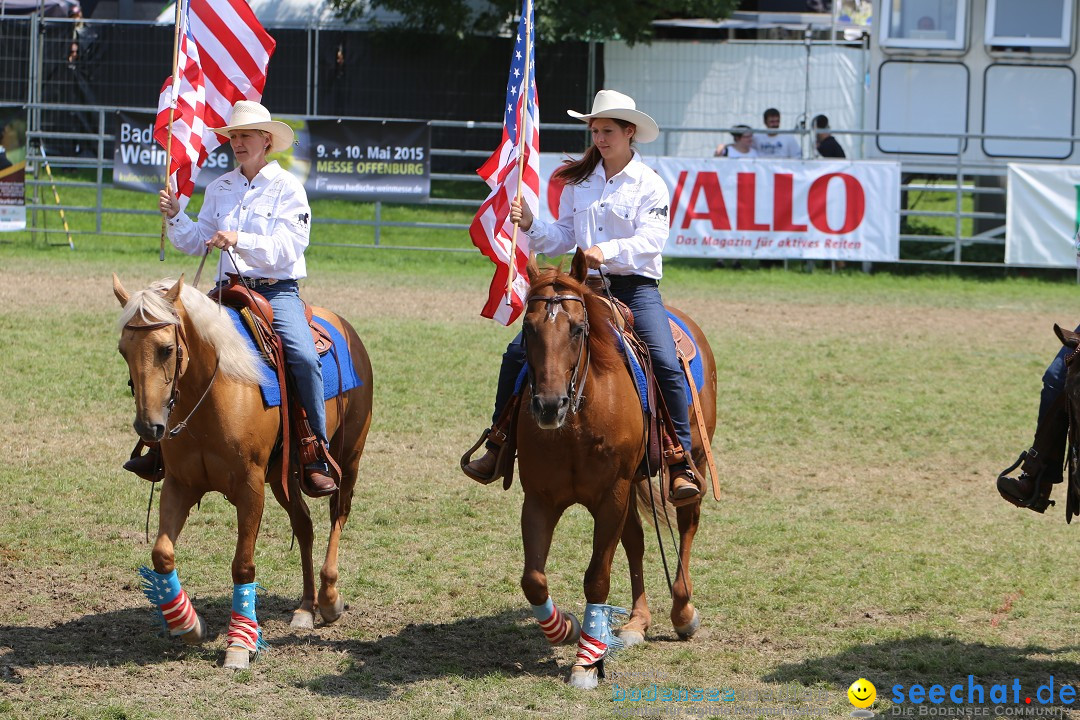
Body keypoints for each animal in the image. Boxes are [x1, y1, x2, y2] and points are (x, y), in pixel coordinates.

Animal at [109, 276, 371, 669]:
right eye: (123, 350)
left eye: (166, 349)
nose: (148, 426)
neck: (214, 391)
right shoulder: (180, 483)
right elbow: (162, 553)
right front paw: (188, 625)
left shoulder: (250, 488)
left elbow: (243, 565)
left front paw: (239, 644)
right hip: (284, 476)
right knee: (305, 526)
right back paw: (306, 607)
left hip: (348, 457)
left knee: (337, 516)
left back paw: (329, 599)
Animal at [514, 250, 717, 690]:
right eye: (527, 327)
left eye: (577, 329)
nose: (549, 406)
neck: (576, 422)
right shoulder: (539, 498)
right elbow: (533, 579)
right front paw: (566, 629)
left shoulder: (612, 496)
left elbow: (597, 577)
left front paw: (587, 662)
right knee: (636, 542)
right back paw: (638, 622)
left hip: (694, 459)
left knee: (688, 521)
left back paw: (683, 612)